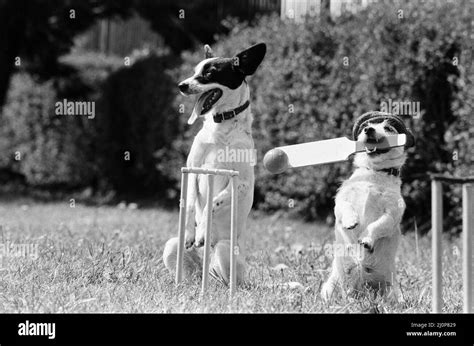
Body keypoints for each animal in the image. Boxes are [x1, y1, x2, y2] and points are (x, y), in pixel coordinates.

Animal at [163, 42, 266, 286]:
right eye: (194, 71)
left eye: (209, 73)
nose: (181, 86)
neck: (222, 125)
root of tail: (207, 271)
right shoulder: (192, 171)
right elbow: (192, 203)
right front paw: (192, 233)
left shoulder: (241, 184)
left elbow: (214, 201)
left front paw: (202, 232)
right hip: (172, 246)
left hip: (224, 250)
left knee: (229, 280)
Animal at [322, 111, 414, 302]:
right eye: (367, 126)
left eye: (388, 128)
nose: (369, 129)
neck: (374, 173)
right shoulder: (341, 200)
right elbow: (344, 207)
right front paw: (351, 221)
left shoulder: (392, 214)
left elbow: (378, 225)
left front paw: (366, 239)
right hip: (332, 285)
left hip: (392, 289)